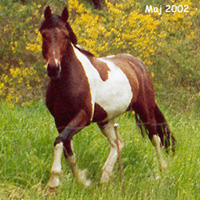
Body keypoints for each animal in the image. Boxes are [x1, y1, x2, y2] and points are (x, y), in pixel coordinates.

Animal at [39, 5, 176, 188]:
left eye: (66, 36)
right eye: (44, 34)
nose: (53, 68)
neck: (69, 80)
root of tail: (138, 63)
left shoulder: (83, 116)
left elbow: (60, 141)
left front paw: (54, 182)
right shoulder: (60, 120)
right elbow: (67, 150)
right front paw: (83, 181)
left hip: (145, 110)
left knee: (155, 138)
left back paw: (163, 173)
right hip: (106, 119)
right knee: (118, 143)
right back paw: (104, 178)